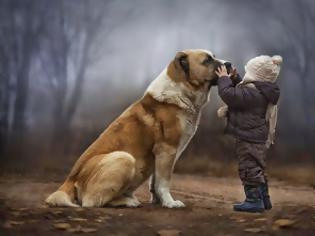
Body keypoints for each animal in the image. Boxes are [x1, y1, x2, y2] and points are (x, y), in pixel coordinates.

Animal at [46, 48, 225, 207]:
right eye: (207, 60)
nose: (228, 64)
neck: (181, 91)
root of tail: (70, 179)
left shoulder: (161, 155)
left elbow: (155, 182)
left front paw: (158, 201)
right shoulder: (167, 150)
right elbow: (164, 182)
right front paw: (170, 203)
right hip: (124, 158)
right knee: (91, 202)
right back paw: (128, 201)